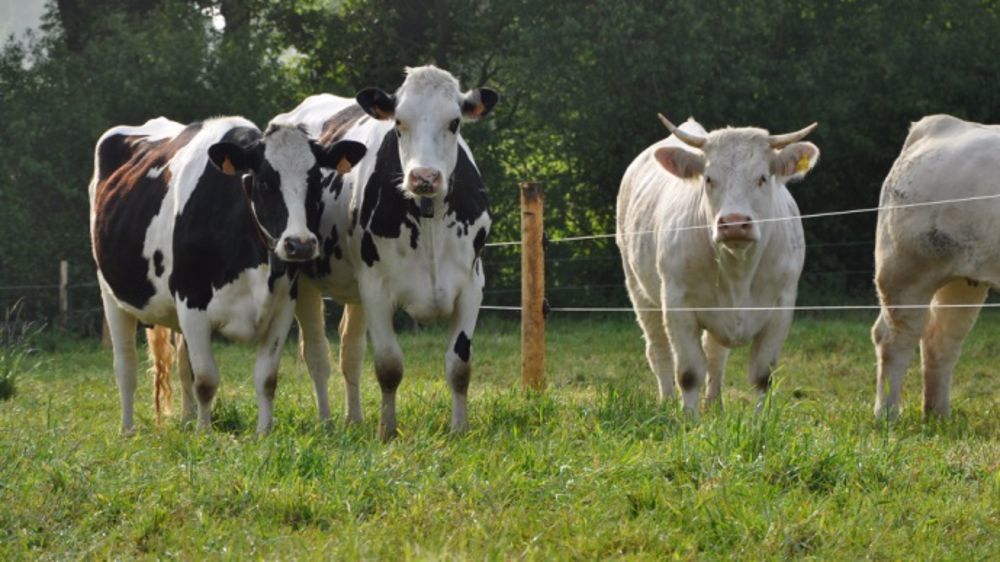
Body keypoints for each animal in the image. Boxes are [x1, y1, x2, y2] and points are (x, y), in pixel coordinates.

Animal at [90, 116, 365, 435]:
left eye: (316, 180)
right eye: (265, 181)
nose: (300, 244)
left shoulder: (282, 305)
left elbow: (266, 378)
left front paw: (263, 432)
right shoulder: (192, 302)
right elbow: (206, 379)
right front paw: (204, 433)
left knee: (182, 364)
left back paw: (186, 419)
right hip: (110, 293)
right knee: (126, 365)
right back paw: (128, 430)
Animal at [270, 65, 498, 439]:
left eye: (454, 122)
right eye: (399, 123)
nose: (424, 177)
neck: (428, 217)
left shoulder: (471, 285)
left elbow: (459, 365)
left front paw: (459, 429)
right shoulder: (376, 290)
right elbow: (389, 365)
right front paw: (388, 430)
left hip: (355, 291)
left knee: (349, 351)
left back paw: (354, 419)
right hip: (302, 277)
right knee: (317, 354)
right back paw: (327, 422)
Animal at [616, 114, 820, 414]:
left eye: (762, 177)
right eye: (709, 179)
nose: (734, 223)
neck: (738, 271)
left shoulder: (782, 306)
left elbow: (762, 375)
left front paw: (760, 420)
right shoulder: (677, 304)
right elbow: (689, 372)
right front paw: (688, 419)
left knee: (715, 354)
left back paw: (714, 405)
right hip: (639, 289)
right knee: (659, 350)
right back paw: (666, 401)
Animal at [871, 114, 1000, 418]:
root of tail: (939, 124)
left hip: (963, 279)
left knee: (940, 340)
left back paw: (937, 414)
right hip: (906, 271)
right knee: (894, 338)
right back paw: (887, 414)